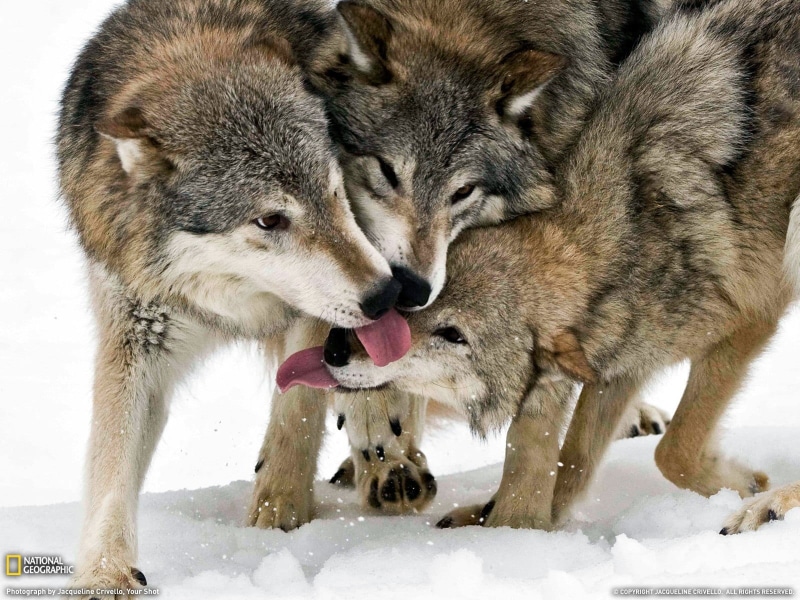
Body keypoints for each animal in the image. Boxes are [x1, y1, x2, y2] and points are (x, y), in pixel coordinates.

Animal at [56, 0, 409, 593]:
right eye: (269, 220)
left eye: (334, 189)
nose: (385, 294)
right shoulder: (135, 335)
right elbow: (110, 465)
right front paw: (105, 574)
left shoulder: (315, 315)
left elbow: (297, 411)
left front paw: (279, 513)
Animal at [250, 0, 686, 524]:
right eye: (387, 171)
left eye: (463, 191)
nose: (411, 289)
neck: (464, 19)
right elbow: (315, 382)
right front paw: (283, 504)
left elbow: (535, 413)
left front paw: (516, 522)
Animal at [316, 0, 800, 529]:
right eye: (405, 308)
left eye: (453, 335)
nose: (335, 349)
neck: (625, 232)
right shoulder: (617, 363)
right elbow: (571, 462)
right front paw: (516, 524)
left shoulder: (747, 324)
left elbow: (672, 451)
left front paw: (745, 484)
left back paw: (772, 505)